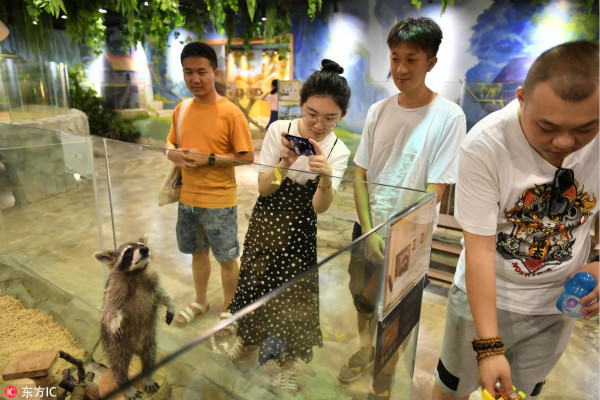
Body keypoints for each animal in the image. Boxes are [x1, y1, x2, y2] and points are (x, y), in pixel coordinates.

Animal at [94, 234, 173, 400]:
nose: (145, 249)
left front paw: (171, 303)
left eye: (141, 245)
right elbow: (111, 310)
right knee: (119, 367)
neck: (136, 273)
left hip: (149, 341)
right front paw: (115, 323)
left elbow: (162, 294)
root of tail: (135, 350)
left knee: (150, 356)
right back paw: (125, 385)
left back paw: (147, 375)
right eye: (128, 251)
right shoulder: (114, 291)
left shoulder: (153, 282)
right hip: (116, 347)